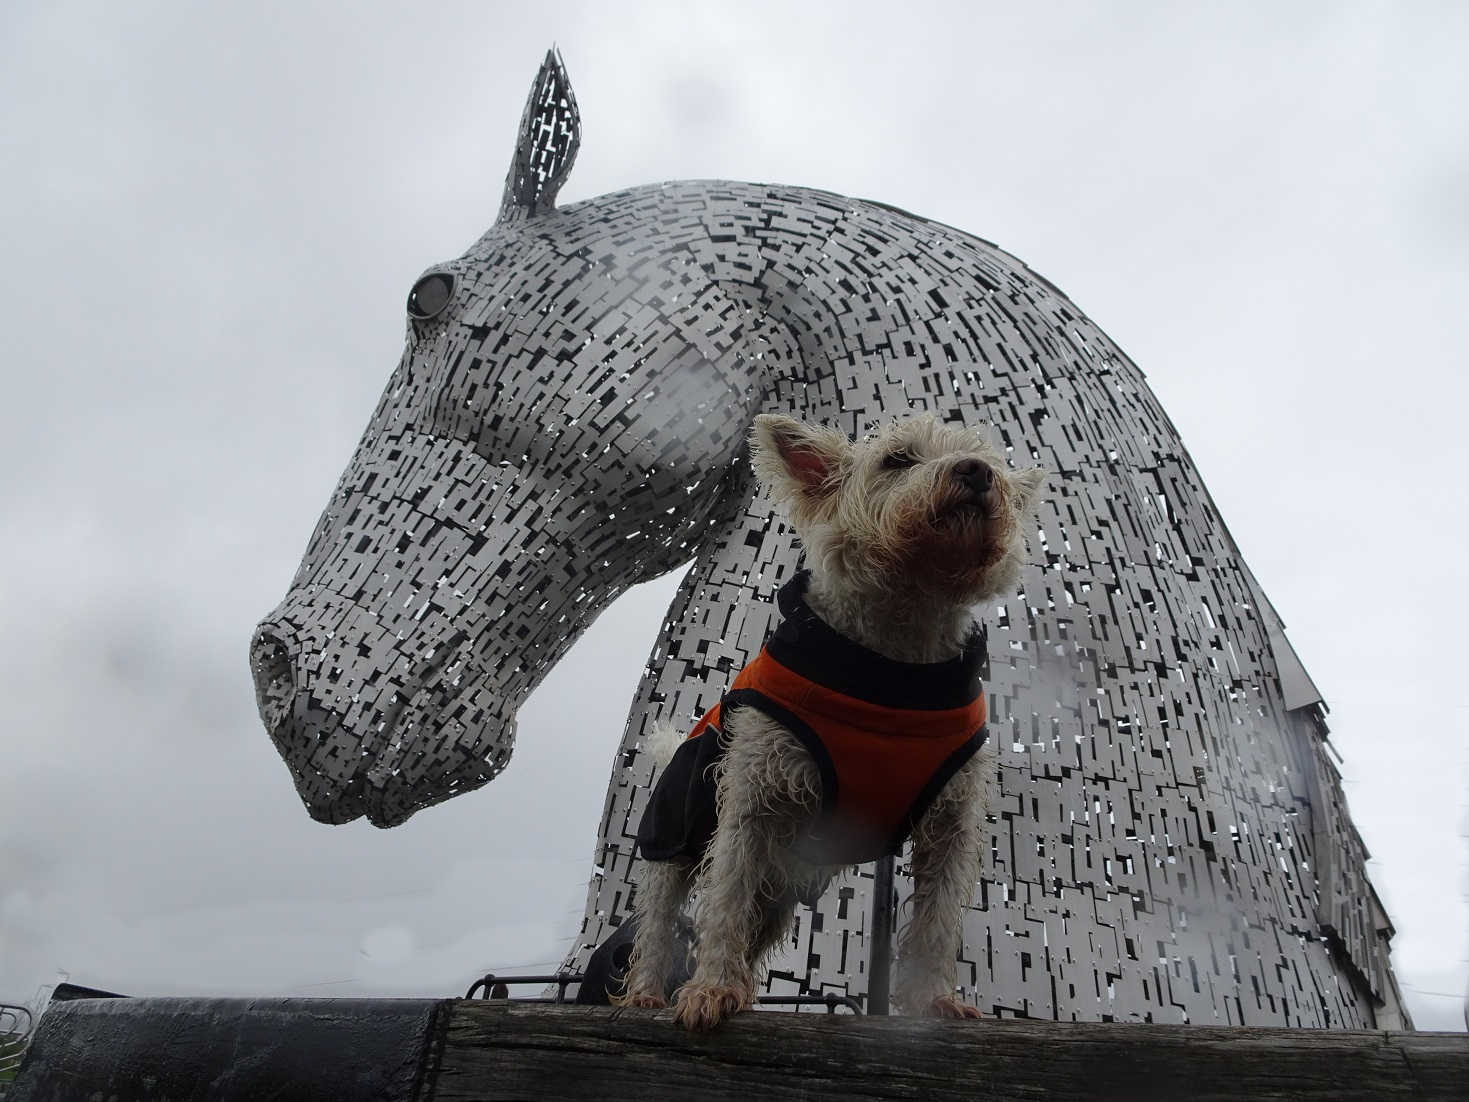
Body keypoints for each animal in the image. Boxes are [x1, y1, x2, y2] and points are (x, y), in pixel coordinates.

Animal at [619, 411, 1045, 1034]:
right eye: (897, 459)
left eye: (986, 458)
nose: (975, 471)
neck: (891, 671)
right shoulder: (753, 798)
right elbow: (724, 901)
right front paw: (709, 991)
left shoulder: (951, 822)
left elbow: (938, 921)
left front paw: (936, 1001)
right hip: (671, 837)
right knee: (658, 922)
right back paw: (649, 995)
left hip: (780, 890)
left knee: (755, 928)